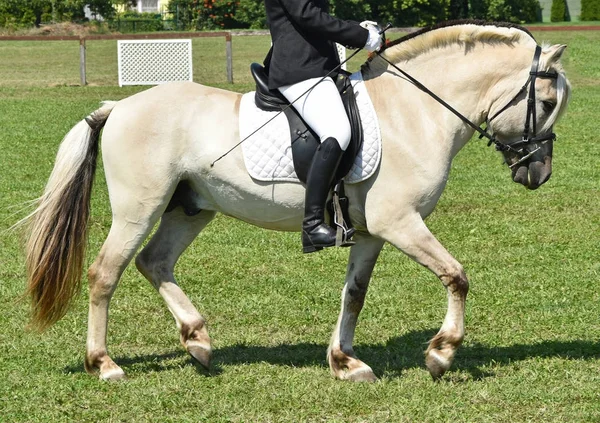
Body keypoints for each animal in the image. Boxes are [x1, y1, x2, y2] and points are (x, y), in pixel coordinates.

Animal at [19, 21, 572, 382]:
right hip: (139, 209)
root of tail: (119, 106)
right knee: (104, 274)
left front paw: (345, 362)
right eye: (545, 103)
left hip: (190, 208)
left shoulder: (371, 232)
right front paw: (441, 354)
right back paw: (105, 365)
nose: (537, 172)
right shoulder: (399, 223)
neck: (413, 112)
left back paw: (198, 341)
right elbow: (456, 276)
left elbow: (355, 294)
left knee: (154, 263)